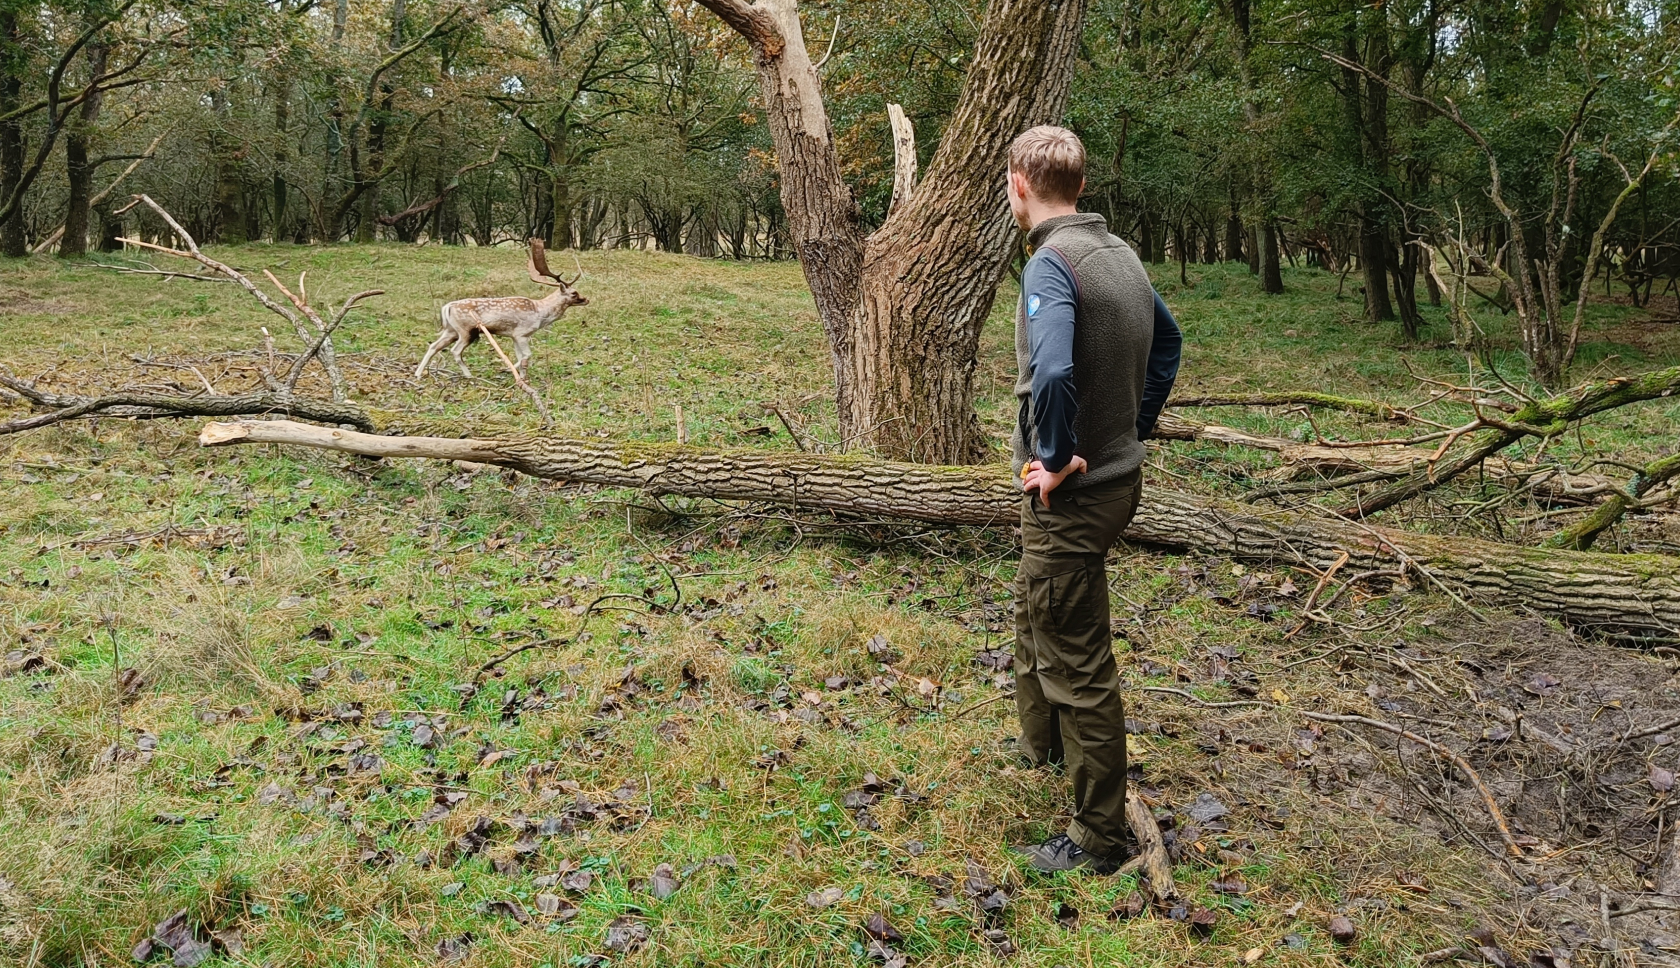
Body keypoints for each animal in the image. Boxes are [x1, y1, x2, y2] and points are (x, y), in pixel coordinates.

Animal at [416, 238, 588, 378]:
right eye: (574, 293)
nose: (586, 299)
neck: (540, 313)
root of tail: (447, 307)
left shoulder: (514, 336)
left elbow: (521, 356)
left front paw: (522, 377)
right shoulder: (521, 333)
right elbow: (526, 355)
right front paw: (507, 369)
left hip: (451, 330)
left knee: (433, 346)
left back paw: (418, 373)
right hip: (466, 330)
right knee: (455, 351)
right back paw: (469, 375)